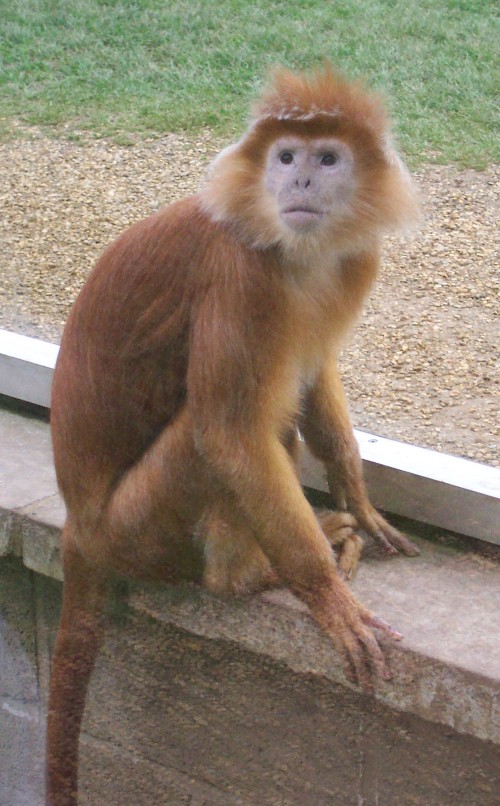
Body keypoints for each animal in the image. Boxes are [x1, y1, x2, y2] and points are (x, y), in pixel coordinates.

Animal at [47, 66, 420, 804]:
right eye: (286, 156)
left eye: (326, 159)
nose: (298, 181)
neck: (293, 252)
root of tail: (79, 525)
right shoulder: (241, 276)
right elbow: (228, 432)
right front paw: (327, 596)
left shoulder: (352, 261)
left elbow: (313, 372)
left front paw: (360, 501)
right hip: (136, 526)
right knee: (218, 429)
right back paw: (248, 573)